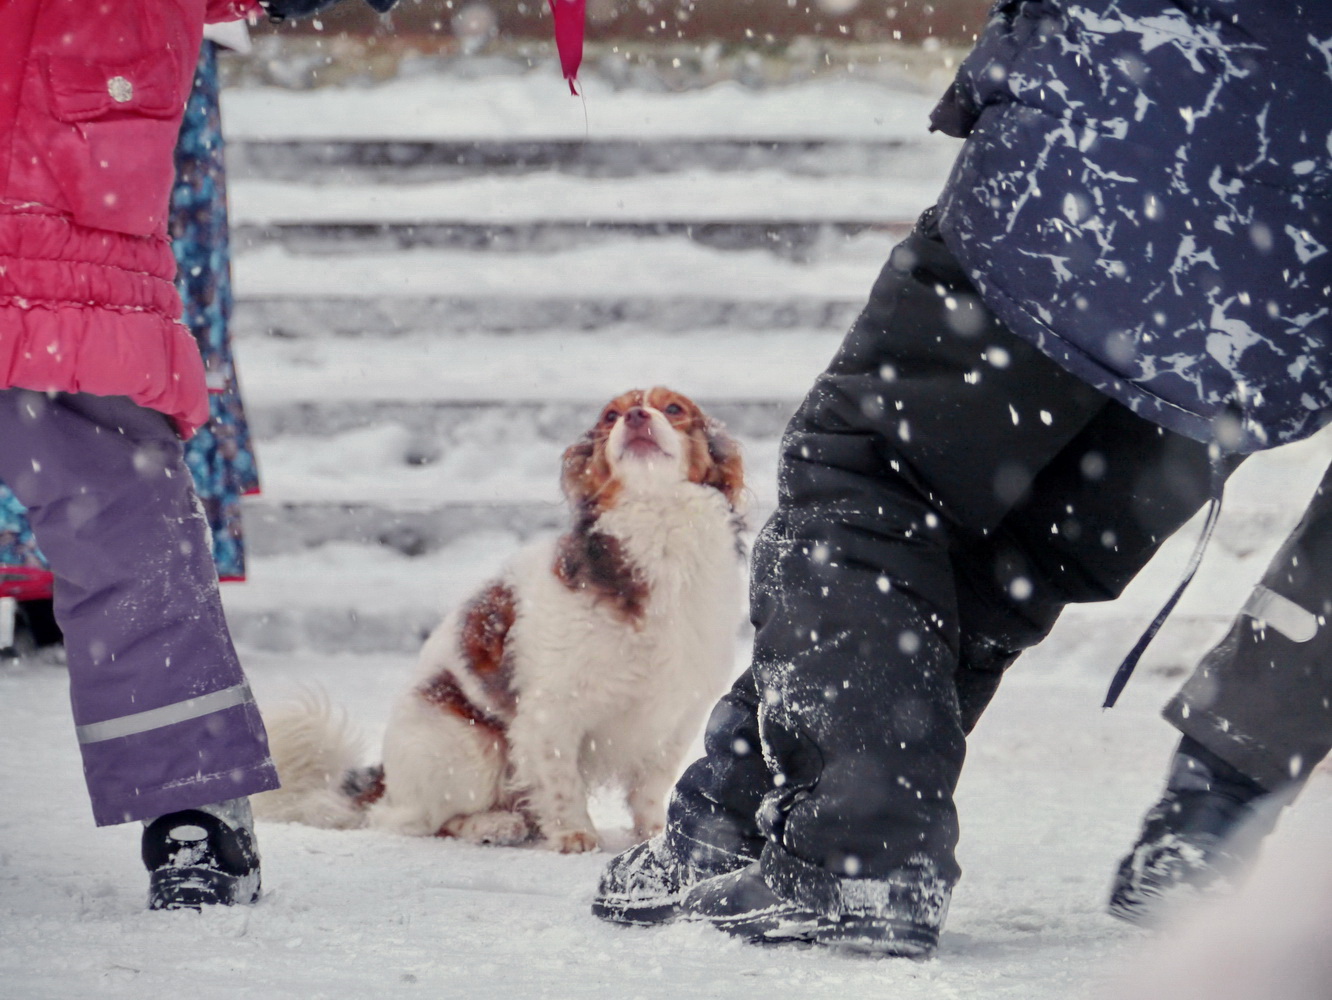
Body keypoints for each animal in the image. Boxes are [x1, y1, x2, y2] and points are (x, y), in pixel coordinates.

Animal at [254, 388, 745, 852]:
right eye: (610, 415)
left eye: (675, 408)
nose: (636, 416)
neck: (656, 533)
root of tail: (384, 779)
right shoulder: (551, 710)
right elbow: (562, 781)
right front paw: (574, 835)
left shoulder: (676, 714)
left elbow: (650, 787)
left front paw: (656, 834)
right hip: (469, 746)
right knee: (410, 820)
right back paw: (493, 824)